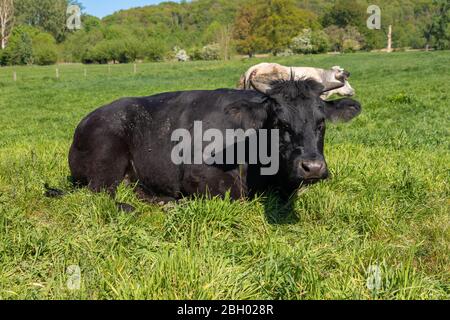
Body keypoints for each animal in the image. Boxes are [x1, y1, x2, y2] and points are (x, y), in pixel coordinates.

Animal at [67, 79, 362, 205]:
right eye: (280, 123)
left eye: (321, 122)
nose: (312, 167)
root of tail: (85, 120)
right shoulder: (198, 175)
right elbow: (236, 196)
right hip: (106, 160)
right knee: (101, 196)